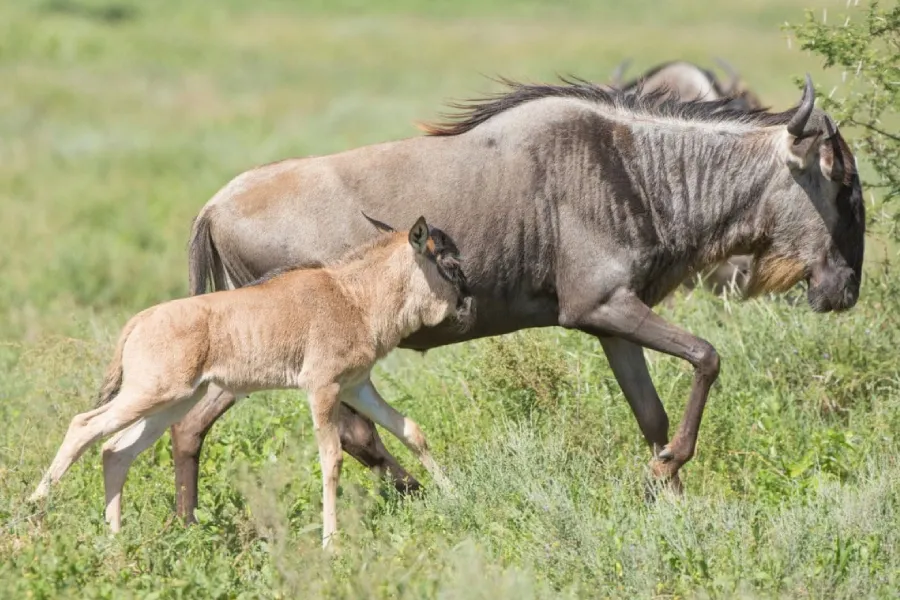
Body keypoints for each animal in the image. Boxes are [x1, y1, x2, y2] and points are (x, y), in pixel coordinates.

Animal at [29, 215, 473, 547]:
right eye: (450, 265)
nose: (468, 304)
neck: (353, 297)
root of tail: (139, 320)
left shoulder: (356, 386)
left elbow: (411, 431)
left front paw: (454, 494)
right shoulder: (322, 389)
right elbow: (332, 459)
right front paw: (331, 543)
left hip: (174, 401)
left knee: (116, 451)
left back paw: (115, 539)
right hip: (150, 394)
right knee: (83, 426)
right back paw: (32, 514)